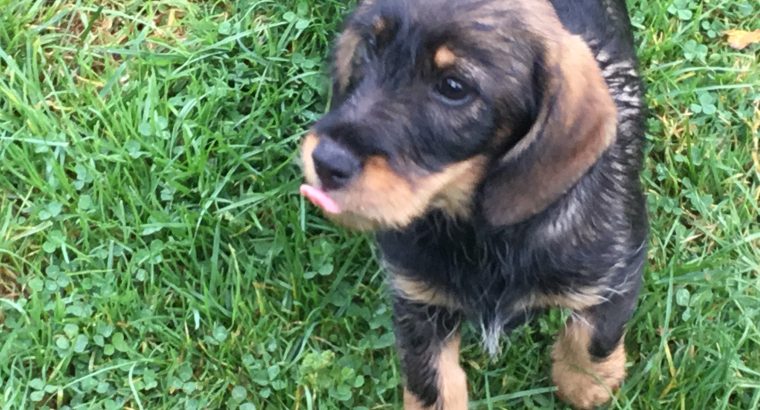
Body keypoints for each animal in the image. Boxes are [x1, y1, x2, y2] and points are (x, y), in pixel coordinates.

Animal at [300, 1, 644, 408]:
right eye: (371, 47)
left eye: (454, 87)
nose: (326, 162)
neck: (479, 232)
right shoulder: (419, 299)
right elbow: (430, 381)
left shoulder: (616, 272)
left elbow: (593, 336)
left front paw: (588, 382)